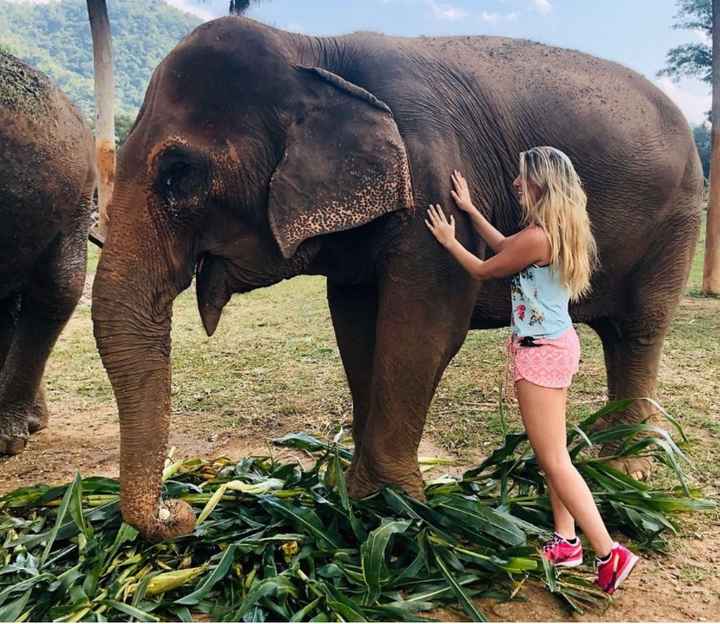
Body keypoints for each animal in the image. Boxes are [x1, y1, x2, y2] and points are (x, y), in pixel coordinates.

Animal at [91, 17, 702, 541]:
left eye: (180, 174)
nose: (182, 510)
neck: (311, 50)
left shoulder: (433, 177)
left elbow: (421, 329)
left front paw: (392, 511)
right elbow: (357, 324)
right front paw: (354, 498)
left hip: (680, 219)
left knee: (640, 330)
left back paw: (628, 471)